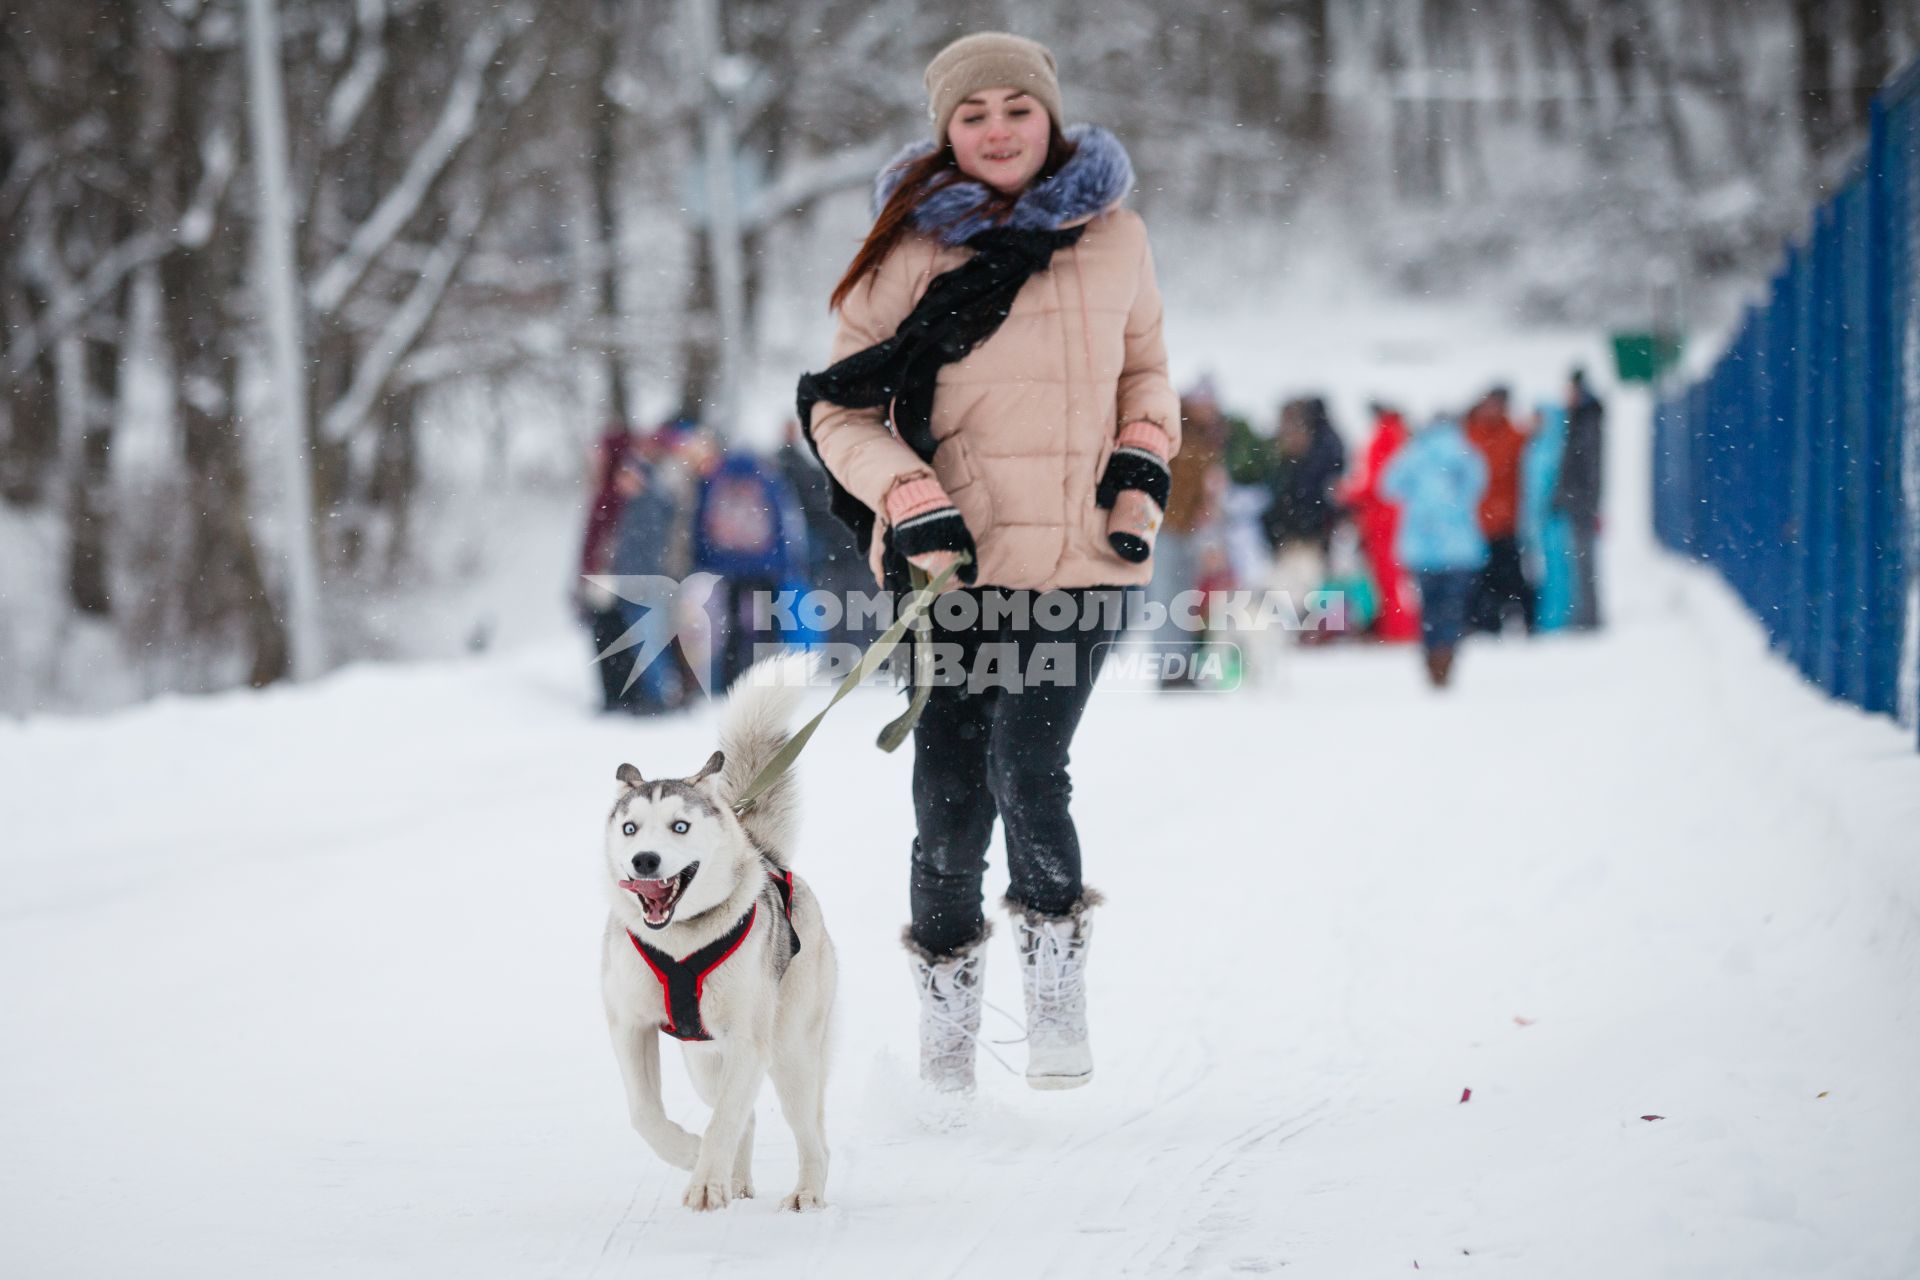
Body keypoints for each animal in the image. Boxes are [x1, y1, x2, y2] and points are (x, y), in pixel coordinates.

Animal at [599, 660, 840, 1212]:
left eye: (680, 826)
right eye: (630, 828)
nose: (645, 861)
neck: (679, 942)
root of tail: (769, 855)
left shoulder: (748, 1041)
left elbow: (723, 1121)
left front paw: (704, 1178)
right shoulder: (630, 1026)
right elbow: (645, 1114)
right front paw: (692, 1157)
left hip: (789, 1052)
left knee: (808, 1132)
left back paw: (805, 1191)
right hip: (705, 1061)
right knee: (742, 1114)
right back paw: (737, 1180)